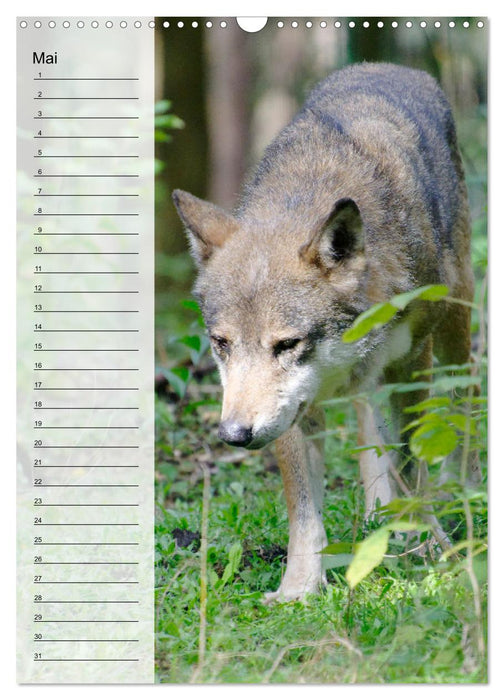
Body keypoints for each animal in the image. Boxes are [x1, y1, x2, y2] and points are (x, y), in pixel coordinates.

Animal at [172, 62, 477, 602]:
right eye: (222, 344)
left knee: (463, 402)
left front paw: (422, 549)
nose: (233, 434)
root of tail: (391, 67)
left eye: (287, 344)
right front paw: (298, 590)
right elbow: (304, 509)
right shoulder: (289, 411)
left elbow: (410, 465)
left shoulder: (409, 363)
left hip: (452, 330)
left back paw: (464, 492)